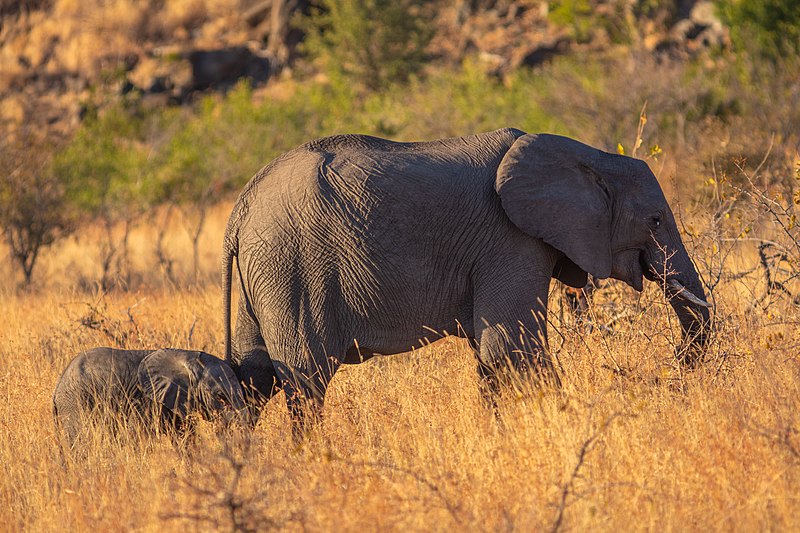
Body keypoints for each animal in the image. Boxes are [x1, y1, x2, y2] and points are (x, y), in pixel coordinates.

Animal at [53, 344, 247, 448]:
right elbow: (137, 434)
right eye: (220, 397)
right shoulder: (146, 399)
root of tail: (57, 389)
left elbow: (184, 436)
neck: (187, 355)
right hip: (76, 402)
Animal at [220, 129, 712, 424]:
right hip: (292, 267)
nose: (670, 373)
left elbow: (491, 356)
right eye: (654, 221)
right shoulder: (510, 240)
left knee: (254, 375)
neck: (589, 156)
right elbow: (512, 350)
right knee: (305, 380)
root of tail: (240, 209)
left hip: (264, 272)